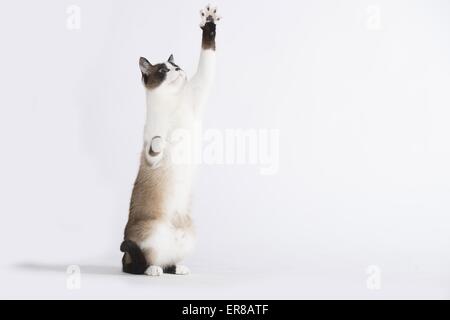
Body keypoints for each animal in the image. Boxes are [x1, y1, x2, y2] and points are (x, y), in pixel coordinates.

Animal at [118, 4, 219, 276]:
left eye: (176, 65)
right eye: (163, 70)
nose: (177, 70)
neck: (174, 100)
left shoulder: (200, 87)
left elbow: (207, 54)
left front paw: (209, 22)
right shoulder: (152, 145)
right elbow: (157, 142)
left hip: (189, 235)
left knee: (167, 259)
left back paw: (177, 268)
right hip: (151, 232)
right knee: (140, 260)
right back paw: (153, 270)